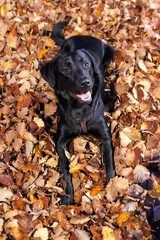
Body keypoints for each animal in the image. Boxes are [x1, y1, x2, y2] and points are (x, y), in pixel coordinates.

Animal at [40, 22, 115, 205]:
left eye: (86, 64)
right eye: (65, 69)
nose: (85, 82)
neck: (80, 109)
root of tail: (83, 35)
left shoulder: (105, 136)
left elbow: (109, 165)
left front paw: (112, 188)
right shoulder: (60, 141)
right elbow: (65, 169)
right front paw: (68, 194)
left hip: (110, 52)